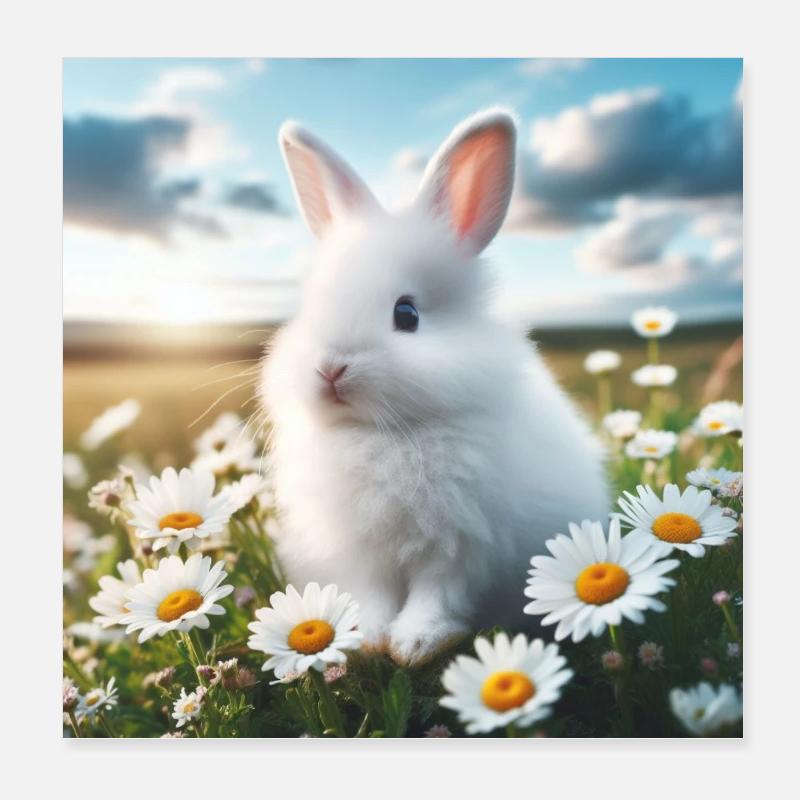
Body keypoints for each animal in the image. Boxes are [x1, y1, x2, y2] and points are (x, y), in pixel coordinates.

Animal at [260, 108, 609, 665]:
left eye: (407, 314)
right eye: (310, 308)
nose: (330, 368)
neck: (381, 435)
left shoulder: (460, 545)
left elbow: (436, 595)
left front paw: (415, 644)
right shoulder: (360, 552)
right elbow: (373, 596)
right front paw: (361, 640)